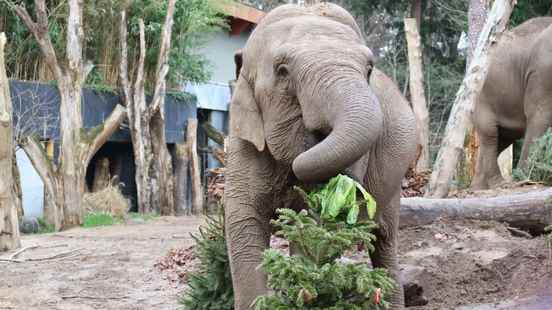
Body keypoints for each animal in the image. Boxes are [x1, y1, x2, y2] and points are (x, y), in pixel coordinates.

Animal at [222, 2, 416, 308]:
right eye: (282, 70)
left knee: (384, 240)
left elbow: (318, 220)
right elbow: (243, 221)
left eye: (369, 69)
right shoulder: (245, 141)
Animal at [470, 18, 552, 190]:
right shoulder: (541, 74)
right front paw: (526, 178)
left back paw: (478, 187)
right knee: (490, 136)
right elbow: (538, 115)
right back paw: (500, 184)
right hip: (481, 99)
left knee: (502, 140)